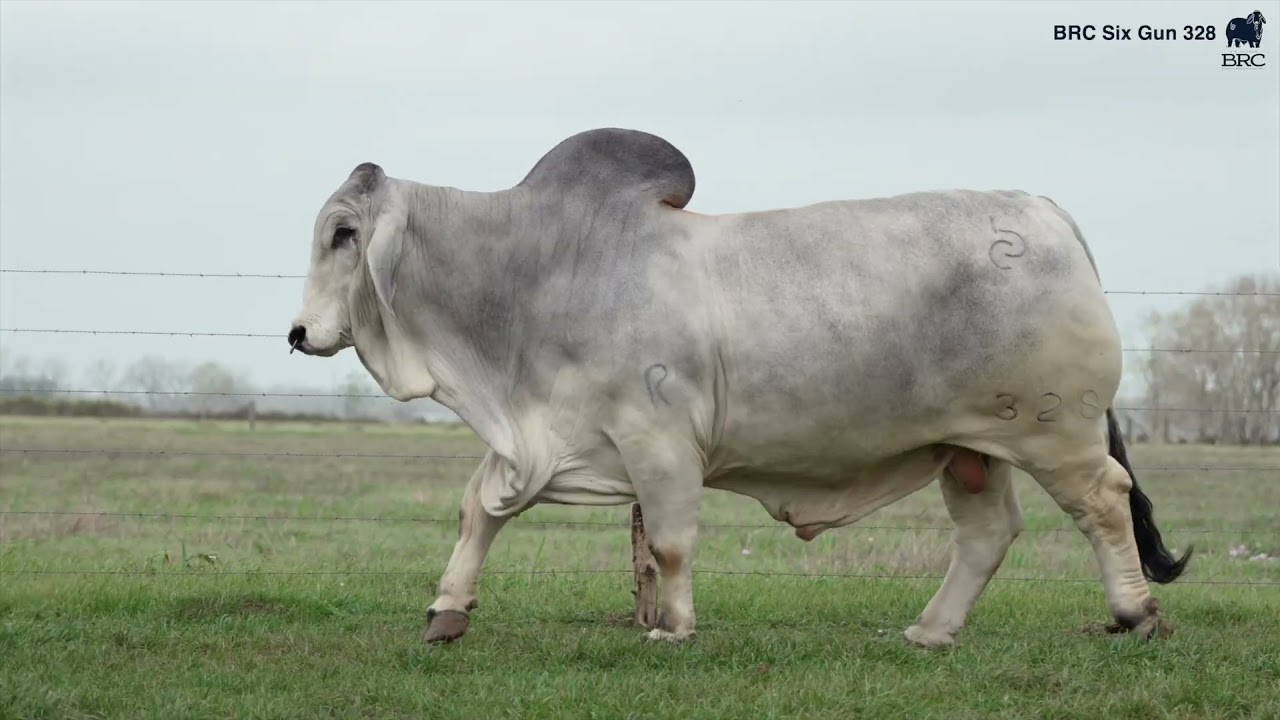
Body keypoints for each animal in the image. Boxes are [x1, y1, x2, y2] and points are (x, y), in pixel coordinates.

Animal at [287, 128, 1191, 648]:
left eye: (343, 233)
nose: (298, 334)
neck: (537, 274)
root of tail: (1044, 211)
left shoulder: (657, 441)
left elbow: (671, 542)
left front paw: (675, 629)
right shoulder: (543, 439)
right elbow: (481, 510)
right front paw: (448, 610)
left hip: (1054, 430)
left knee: (1104, 502)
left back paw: (1135, 614)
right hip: (968, 445)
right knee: (988, 532)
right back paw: (930, 631)